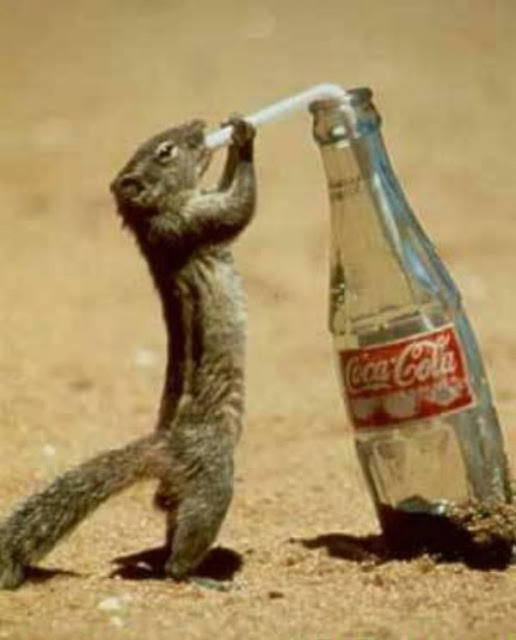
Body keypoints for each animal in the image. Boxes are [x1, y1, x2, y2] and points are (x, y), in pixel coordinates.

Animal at [0, 116, 257, 589]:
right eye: (166, 151)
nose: (200, 123)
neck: (152, 218)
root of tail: (162, 447)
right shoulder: (191, 222)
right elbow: (239, 207)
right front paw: (244, 137)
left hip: (184, 491)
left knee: (169, 517)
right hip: (214, 476)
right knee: (181, 556)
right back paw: (197, 576)